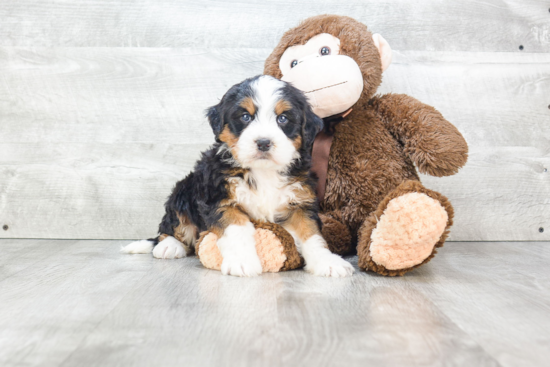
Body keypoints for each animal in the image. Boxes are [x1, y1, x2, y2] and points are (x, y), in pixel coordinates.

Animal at [121, 75, 356, 278]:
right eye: (245, 117)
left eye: (283, 118)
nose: (263, 142)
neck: (262, 171)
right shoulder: (219, 199)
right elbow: (237, 230)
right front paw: (242, 262)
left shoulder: (300, 202)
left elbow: (312, 234)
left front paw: (327, 262)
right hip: (183, 191)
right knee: (170, 226)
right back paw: (169, 245)